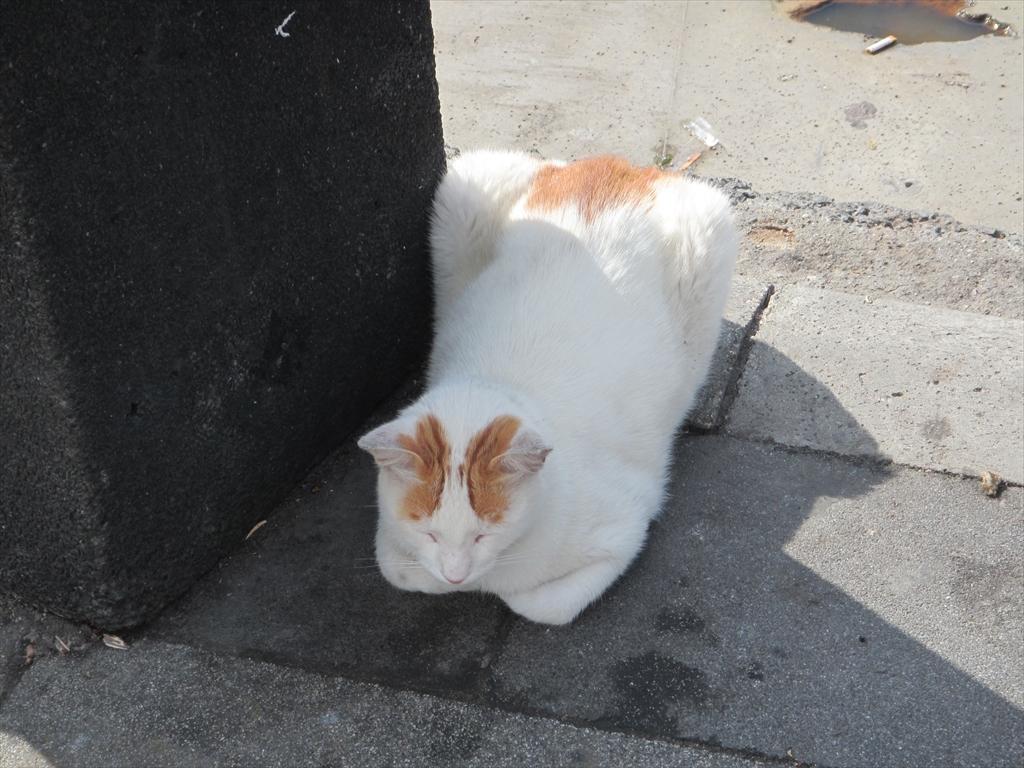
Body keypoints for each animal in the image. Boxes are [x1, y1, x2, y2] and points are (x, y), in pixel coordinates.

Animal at [358, 150, 737, 625]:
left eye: (484, 534)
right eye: (429, 534)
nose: (457, 575)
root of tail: (617, 166)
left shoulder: (626, 528)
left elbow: (539, 604)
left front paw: (499, 592)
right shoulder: (391, 539)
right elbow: (397, 567)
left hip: (710, 231)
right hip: (467, 185)